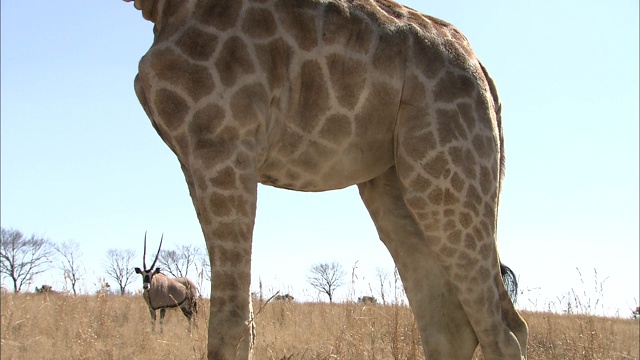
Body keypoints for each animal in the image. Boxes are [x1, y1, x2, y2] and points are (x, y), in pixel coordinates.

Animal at [121, 0, 528, 358]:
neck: (158, 8)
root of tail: (482, 69)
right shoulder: (192, 156)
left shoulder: (221, 141)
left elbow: (230, 327)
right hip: (395, 183)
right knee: (452, 328)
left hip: (448, 166)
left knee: (503, 330)